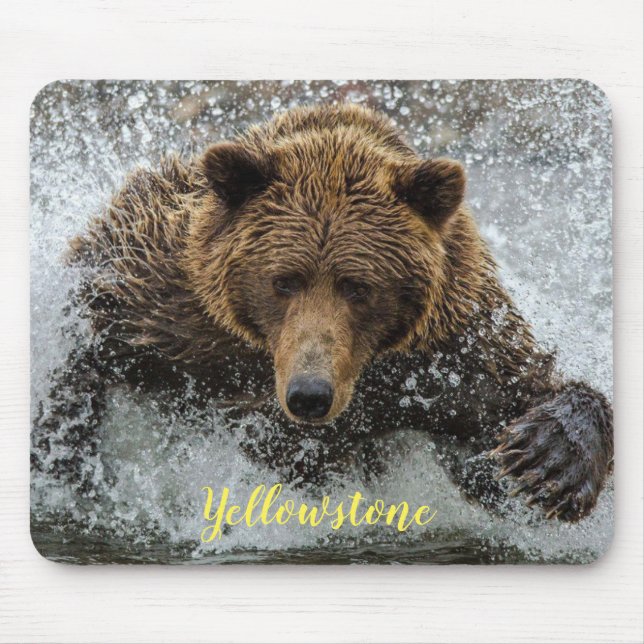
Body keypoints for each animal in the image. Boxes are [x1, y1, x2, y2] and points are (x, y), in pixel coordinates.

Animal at [32, 103, 613, 522]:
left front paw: (549, 461)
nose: (309, 394)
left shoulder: (452, 352)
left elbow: (516, 398)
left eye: (359, 286)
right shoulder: (162, 299)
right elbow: (83, 346)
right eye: (283, 280)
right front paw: (65, 456)